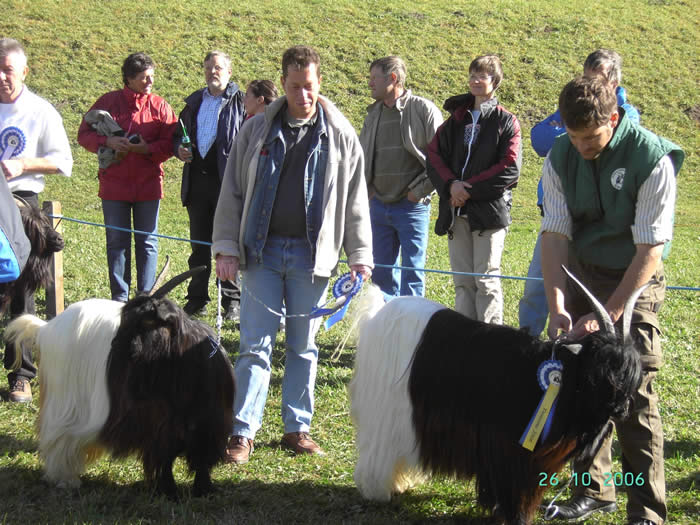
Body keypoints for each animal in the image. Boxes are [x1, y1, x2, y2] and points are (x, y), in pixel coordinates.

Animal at [350, 268, 644, 520]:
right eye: (601, 370)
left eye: (633, 375)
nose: (621, 410)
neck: (565, 380)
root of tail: (378, 315)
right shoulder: (513, 452)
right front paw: (514, 516)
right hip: (387, 405)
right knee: (377, 447)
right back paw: (378, 490)